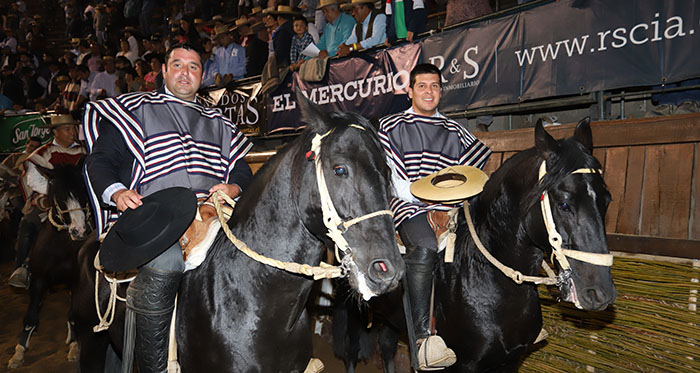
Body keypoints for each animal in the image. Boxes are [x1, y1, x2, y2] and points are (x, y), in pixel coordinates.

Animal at [7, 161, 91, 370]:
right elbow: (31, 317)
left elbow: (72, 315)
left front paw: (74, 348)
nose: (79, 231)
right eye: (58, 195)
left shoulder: (75, 282)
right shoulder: (38, 281)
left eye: (83, 190)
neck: (59, 248)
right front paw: (18, 353)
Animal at [334, 117, 616, 370]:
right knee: (351, 352)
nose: (600, 292)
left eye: (607, 200)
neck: (484, 276)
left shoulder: (510, 361)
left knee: (386, 346)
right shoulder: (465, 365)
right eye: (564, 203)